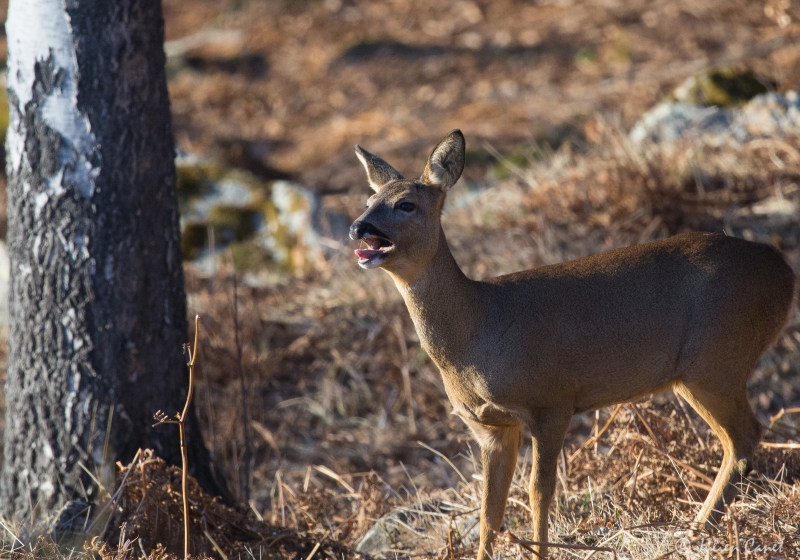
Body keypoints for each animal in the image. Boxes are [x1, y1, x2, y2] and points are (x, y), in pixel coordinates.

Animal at [350, 130, 800, 556]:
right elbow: (489, 510)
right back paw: (695, 531)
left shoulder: (553, 402)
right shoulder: (490, 428)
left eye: (407, 204)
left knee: (745, 436)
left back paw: (697, 531)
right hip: (704, 370)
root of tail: (784, 270)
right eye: (369, 198)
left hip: (716, 360)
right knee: (737, 442)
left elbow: (539, 493)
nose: (358, 227)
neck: (476, 330)